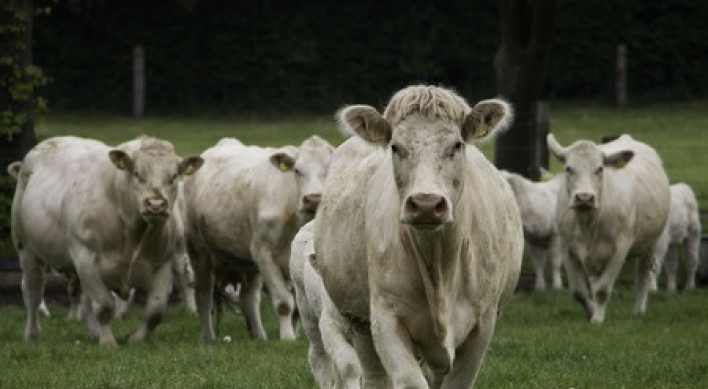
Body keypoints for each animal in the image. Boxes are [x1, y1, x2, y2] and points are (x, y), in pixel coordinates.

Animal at [11, 135, 205, 344]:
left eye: (174, 176)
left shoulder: (162, 263)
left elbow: (155, 311)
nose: (156, 205)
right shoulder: (85, 257)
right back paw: (32, 334)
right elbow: (104, 306)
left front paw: (136, 340)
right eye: (137, 173)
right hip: (25, 247)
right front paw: (108, 342)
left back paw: (93, 332)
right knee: (33, 290)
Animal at [184, 134, 336, 340]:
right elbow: (284, 303)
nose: (313, 199)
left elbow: (298, 307)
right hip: (199, 251)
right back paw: (209, 337)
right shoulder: (264, 254)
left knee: (248, 299)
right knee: (203, 296)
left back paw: (260, 337)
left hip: (247, 263)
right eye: (297, 170)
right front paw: (287, 337)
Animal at [312, 85, 524, 388]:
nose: (426, 203)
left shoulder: (483, 323)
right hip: (359, 321)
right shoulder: (385, 318)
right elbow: (410, 380)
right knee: (375, 376)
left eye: (457, 145)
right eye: (395, 146)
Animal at [548, 132, 668, 322]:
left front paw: (597, 319)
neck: (589, 224)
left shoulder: (620, 248)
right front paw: (592, 312)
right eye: (568, 168)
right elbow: (579, 291)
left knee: (644, 273)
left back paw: (638, 311)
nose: (584, 197)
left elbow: (602, 290)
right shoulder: (567, 248)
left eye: (600, 169)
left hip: (653, 241)